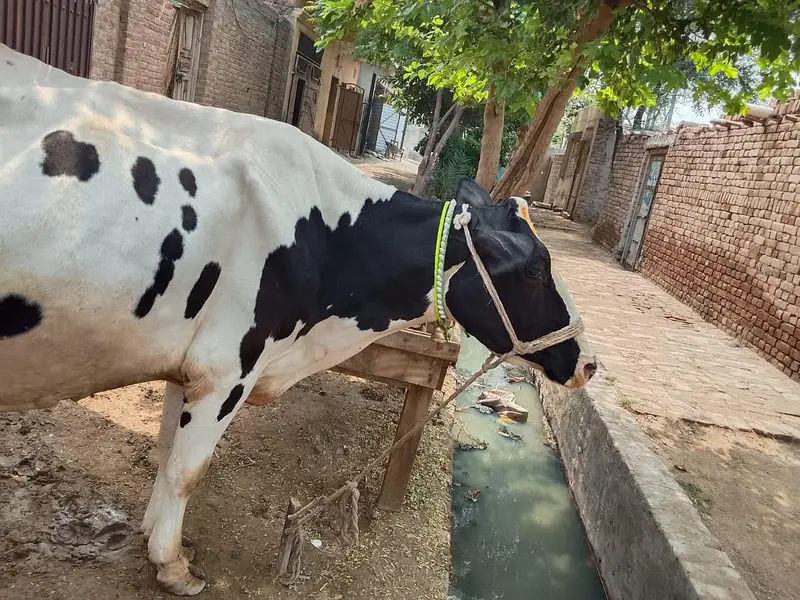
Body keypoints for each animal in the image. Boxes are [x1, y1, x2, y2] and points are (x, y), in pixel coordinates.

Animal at [0, 44, 596, 595]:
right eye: (537, 270)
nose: (589, 362)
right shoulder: (228, 368)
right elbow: (188, 471)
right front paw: (172, 567)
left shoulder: (188, 361)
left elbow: (166, 455)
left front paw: (153, 537)